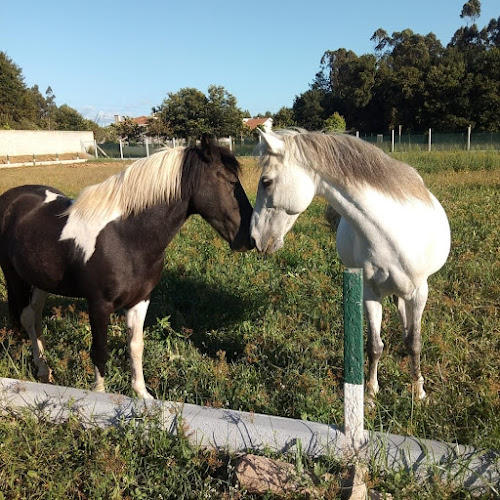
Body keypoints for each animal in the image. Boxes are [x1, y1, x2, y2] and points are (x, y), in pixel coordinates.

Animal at [252, 131, 452, 400]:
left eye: (266, 181)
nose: (255, 238)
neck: (391, 233)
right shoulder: (371, 293)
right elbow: (374, 346)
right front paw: (370, 393)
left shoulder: (420, 292)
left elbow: (415, 343)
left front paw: (418, 391)